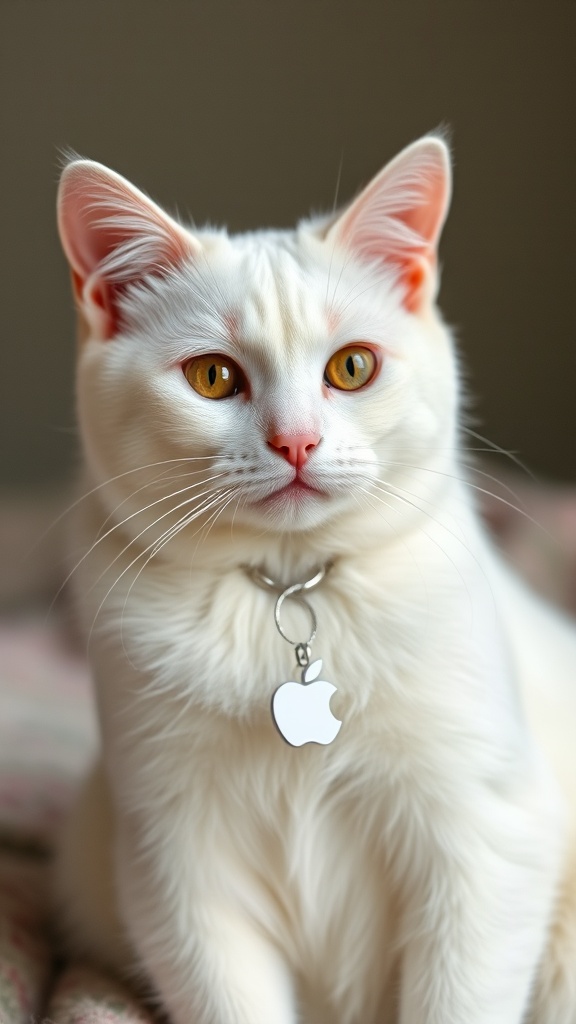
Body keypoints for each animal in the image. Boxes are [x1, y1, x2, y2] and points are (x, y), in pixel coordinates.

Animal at [52, 136, 573, 1024]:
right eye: (213, 377)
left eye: (353, 367)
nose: (296, 441)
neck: (290, 586)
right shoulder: (179, 866)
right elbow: (229, 999)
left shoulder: (485, 835)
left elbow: (458, 997)